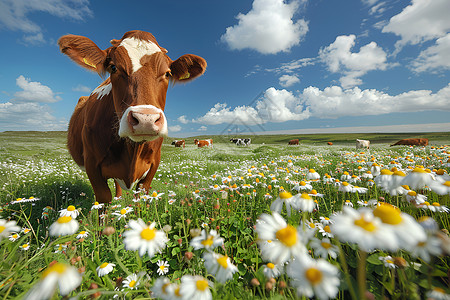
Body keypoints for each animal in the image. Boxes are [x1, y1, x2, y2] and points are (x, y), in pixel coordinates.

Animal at [58, 29, 207, 203]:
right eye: (113, 67)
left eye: (168, 73)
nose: (145, 120)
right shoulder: (92, 165)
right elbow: (103, 198)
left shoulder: (153, 165)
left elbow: (141, 196)